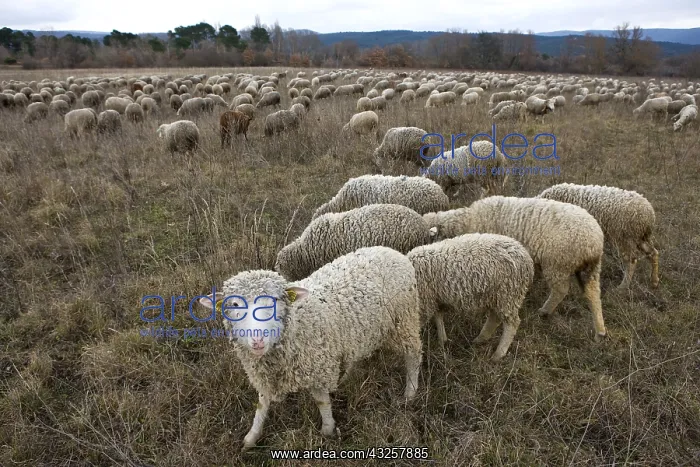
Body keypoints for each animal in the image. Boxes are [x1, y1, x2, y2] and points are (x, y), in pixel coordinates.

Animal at [199, 246, 422, 450]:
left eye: (276, 300)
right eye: (234, 304)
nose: (258, 340)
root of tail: (392, 251)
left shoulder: (318, 365)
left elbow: (322, 401)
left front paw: (327, 429)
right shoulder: (264, 374)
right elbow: (262, 404)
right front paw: (251, 437)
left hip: (405, 321)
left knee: (414, 356)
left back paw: (410, 393)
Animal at [423, 196, 607, 341]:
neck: (467, 221)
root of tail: (594, 241)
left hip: (558, 264)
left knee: (560, 290)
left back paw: (545, 311)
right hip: (590, 268)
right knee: (593, 293)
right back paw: (600, 331)